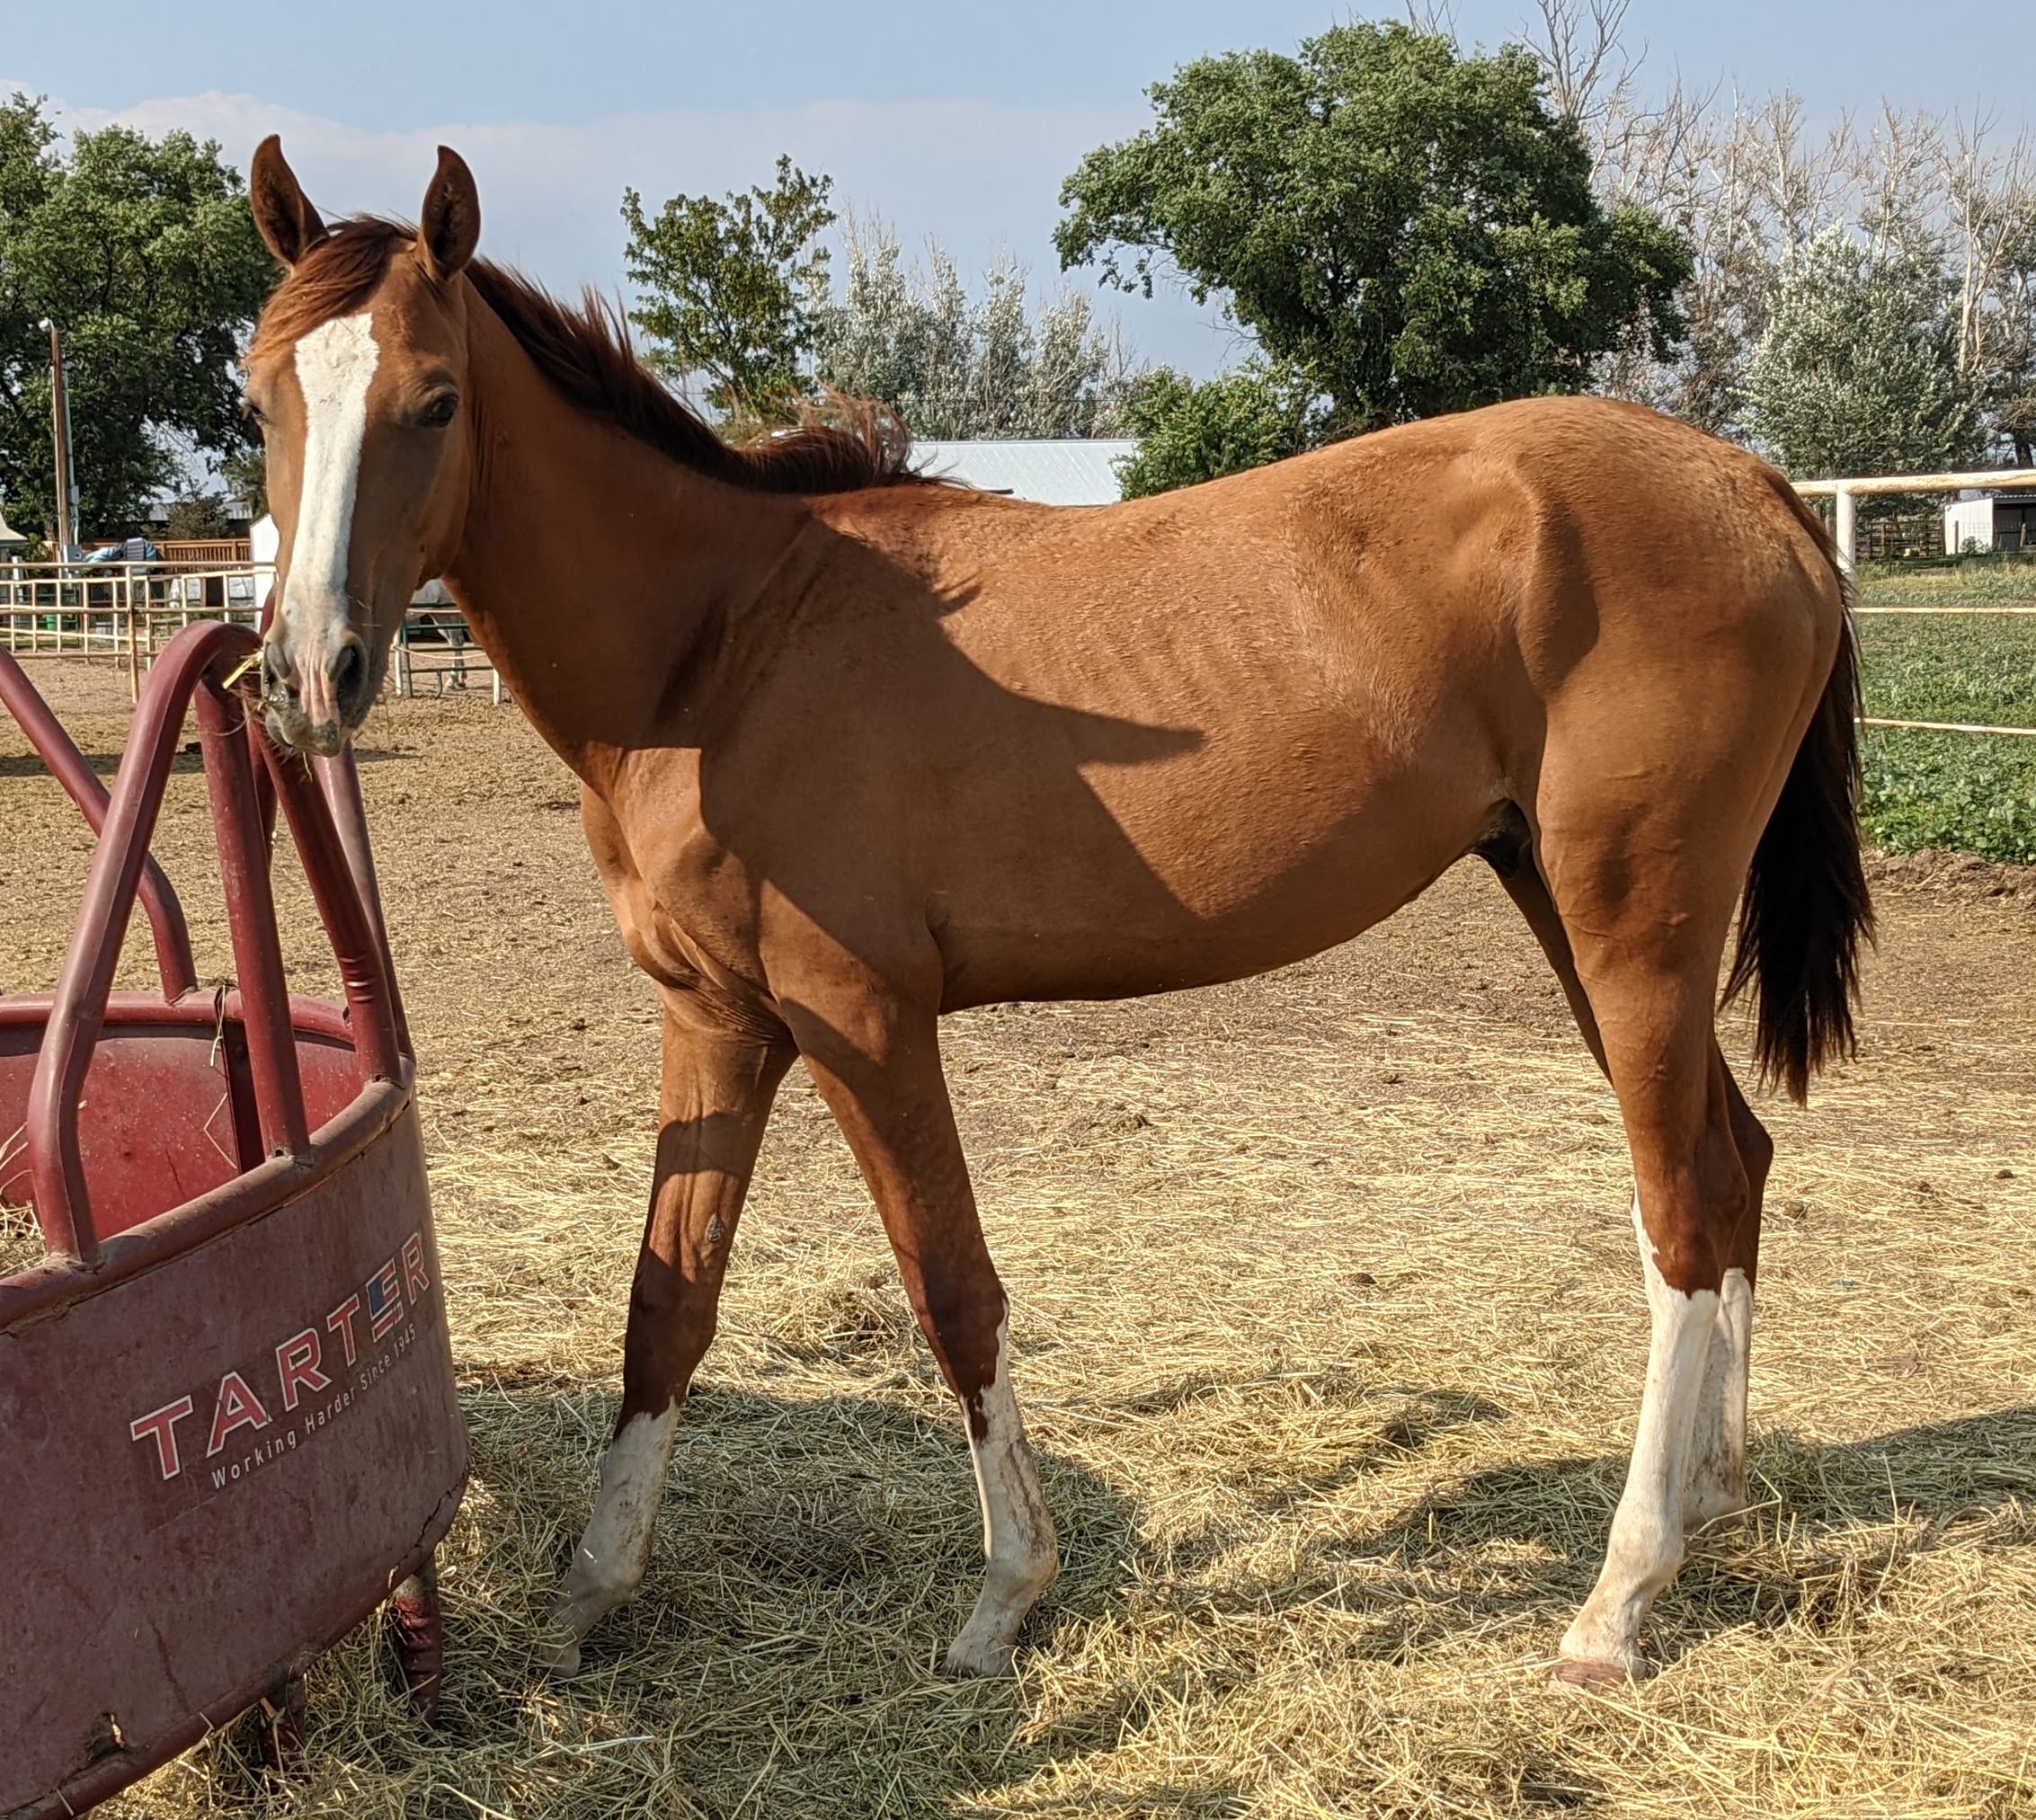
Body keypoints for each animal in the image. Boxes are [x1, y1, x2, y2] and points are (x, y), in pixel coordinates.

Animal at [239, 139, 1871, 1689]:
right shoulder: (718, 1021)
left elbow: (952, 1286)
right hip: (1569, 909)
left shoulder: (861, 1017)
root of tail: (1752, 487)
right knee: (1734, 1164)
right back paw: (1713, 1501)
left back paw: (1619, 1598)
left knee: (1681, 1211)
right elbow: (666, 1302)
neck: (723, 647)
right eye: (263, 397)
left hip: (1631, 926)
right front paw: (588, 1592)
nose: (308, 675)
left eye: (437, 400)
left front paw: (1003, 1597)